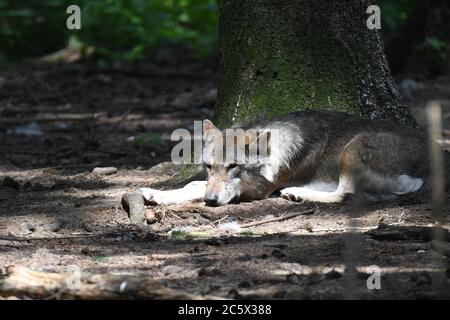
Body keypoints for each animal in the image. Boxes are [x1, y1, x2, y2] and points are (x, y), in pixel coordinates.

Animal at [137, 110, 450, 208]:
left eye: (234, 166)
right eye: (208, 166)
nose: (211, 202)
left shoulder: (258, 191)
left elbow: (196, 188)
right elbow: (194, 185)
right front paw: (155, 193)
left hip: (354, 146)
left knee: (344, 194)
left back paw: (297, 193)